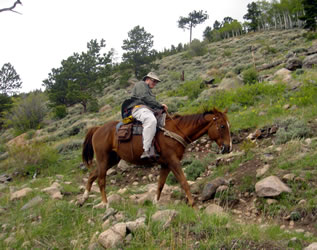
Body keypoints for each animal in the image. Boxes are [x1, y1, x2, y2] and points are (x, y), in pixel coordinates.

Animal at [80, 108, 231, 208]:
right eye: (222, 126)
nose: (228, 148)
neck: (175, 131)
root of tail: (98, 128)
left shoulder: (165, 164)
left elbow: (160, 184)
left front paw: (155, 203)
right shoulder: (173, 161)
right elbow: (184, 182)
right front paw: (193, 204)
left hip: (111, 160)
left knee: (93, 175)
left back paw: (84, 198)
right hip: (103, 159)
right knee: (101, 180)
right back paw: (105, 203)